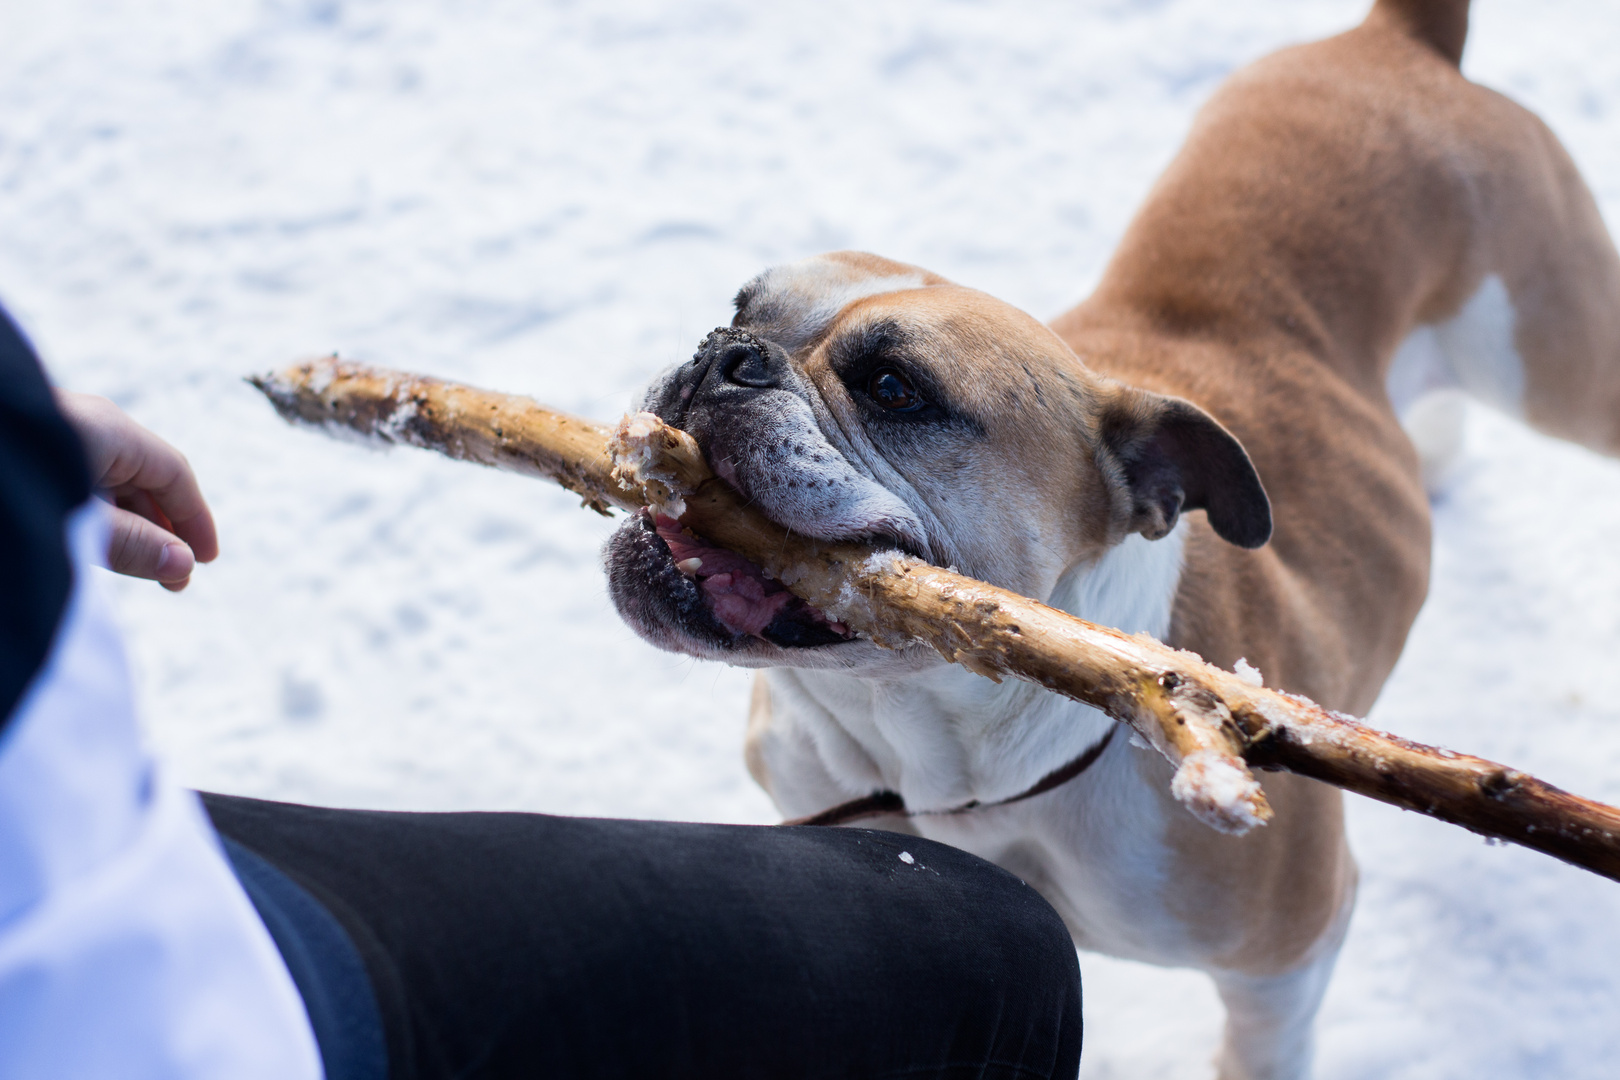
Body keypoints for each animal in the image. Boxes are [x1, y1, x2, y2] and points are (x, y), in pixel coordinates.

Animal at [605, 4, 1620, 1075]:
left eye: (894, 389)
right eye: (738, 310)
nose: (724, 356)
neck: (951, 758)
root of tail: (1407, 41)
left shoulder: (1288, 959)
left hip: (1560, 360)